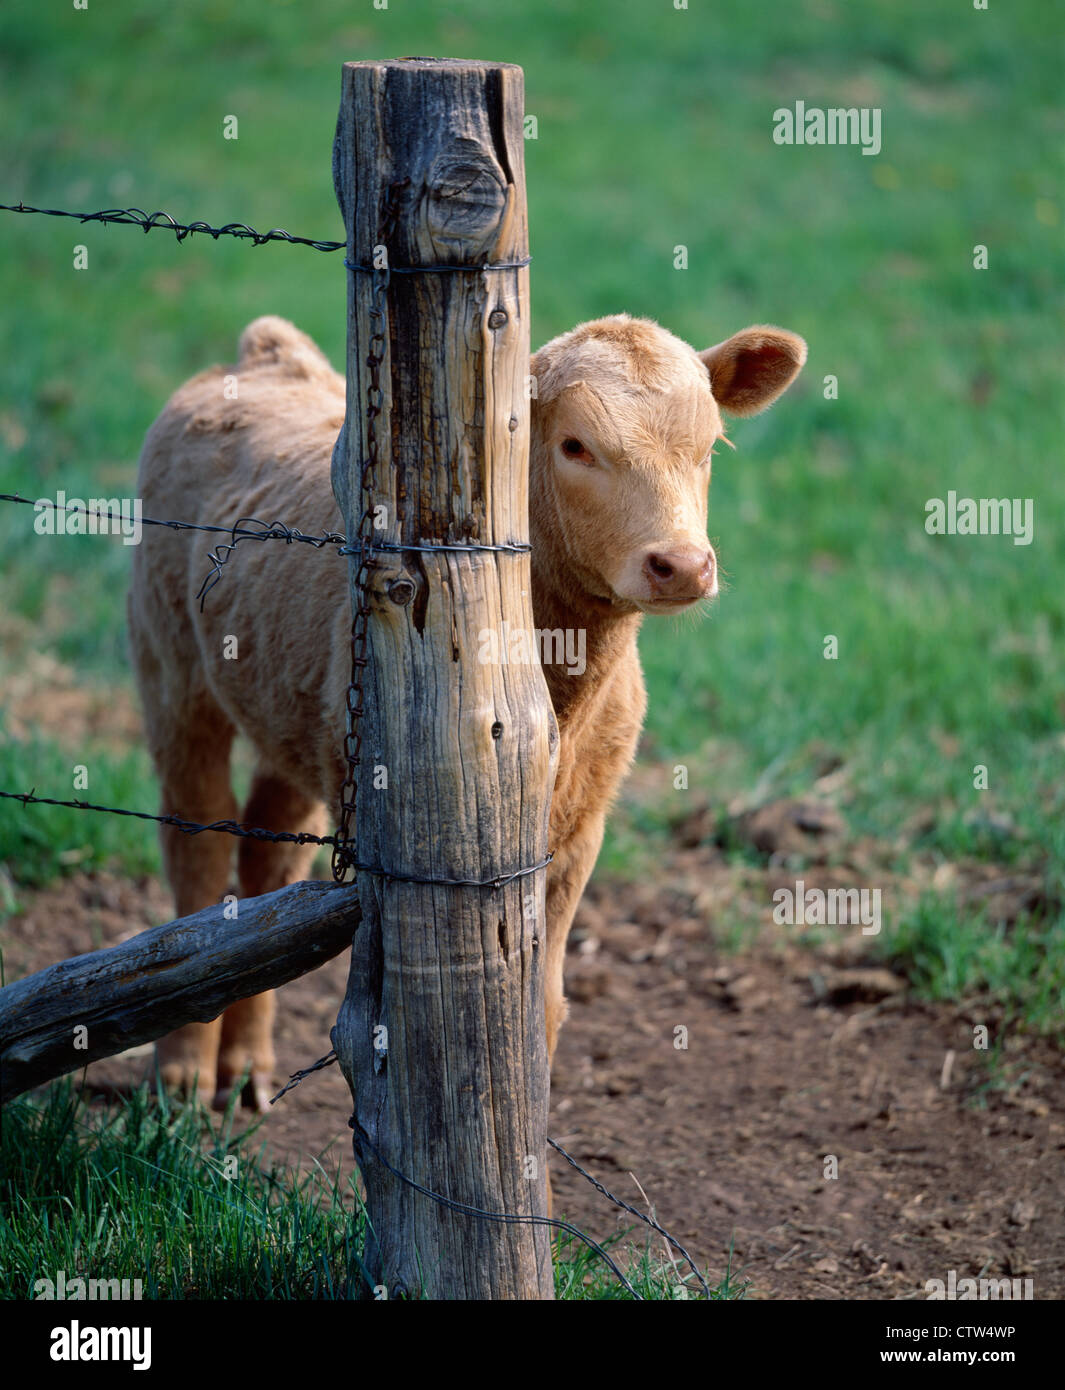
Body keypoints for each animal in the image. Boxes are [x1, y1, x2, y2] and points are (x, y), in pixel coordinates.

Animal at [129, 312, 806, 1106]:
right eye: (575, 446)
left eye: (709, 447)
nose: (683, 565)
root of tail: (264, 358)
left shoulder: (581, 830)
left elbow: (543, 1007)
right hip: (169, 662)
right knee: (196, 838)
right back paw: (183, 1071)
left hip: (288, 711)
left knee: (267, 853)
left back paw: (247, 1066)